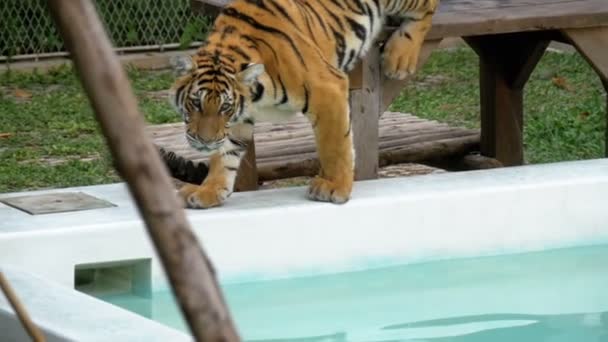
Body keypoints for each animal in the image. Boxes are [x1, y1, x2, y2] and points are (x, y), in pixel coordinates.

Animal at [169, 0, 440, 208]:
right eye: (196, 103)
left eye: (224, 107)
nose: (205, 142)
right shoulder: (239, 118)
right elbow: (226, 154)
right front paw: (209, 190)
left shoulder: (327, 87)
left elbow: (335, 145)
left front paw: (334, 187)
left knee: (427, 6)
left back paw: (399, 57)